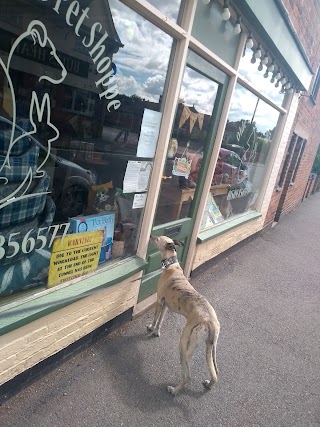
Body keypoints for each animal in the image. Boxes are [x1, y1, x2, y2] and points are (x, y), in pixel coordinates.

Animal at [148, 236, 220, 396]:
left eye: (158, 238)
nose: (151, 236)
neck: (171, 265)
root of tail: (211, 322)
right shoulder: (166, 305)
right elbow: (160, 320)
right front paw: (156, 331)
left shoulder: (159, 301)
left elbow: (155, 318)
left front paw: (150, 328)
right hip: (209, 347)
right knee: (215, 375)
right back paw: (208, 384)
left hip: (184, 343)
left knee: (187, 376)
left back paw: (174, 390)